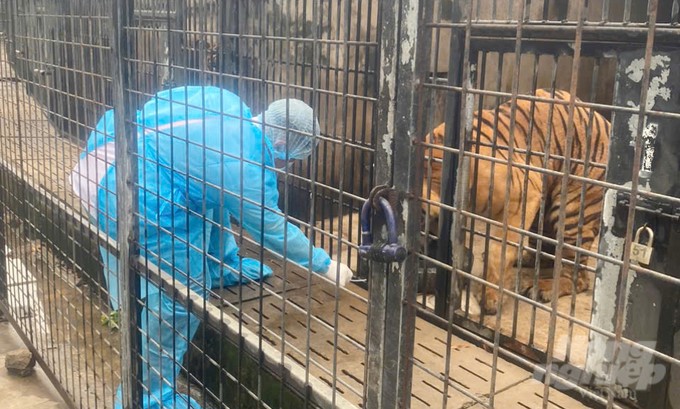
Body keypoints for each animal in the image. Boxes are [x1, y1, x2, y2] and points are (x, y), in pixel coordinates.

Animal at [424, 88, 612, 312]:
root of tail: (604, 120)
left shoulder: (522, 197)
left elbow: (499, 251)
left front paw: (490, 298)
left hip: (572, 210)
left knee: (577, 275)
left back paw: (543, 288)